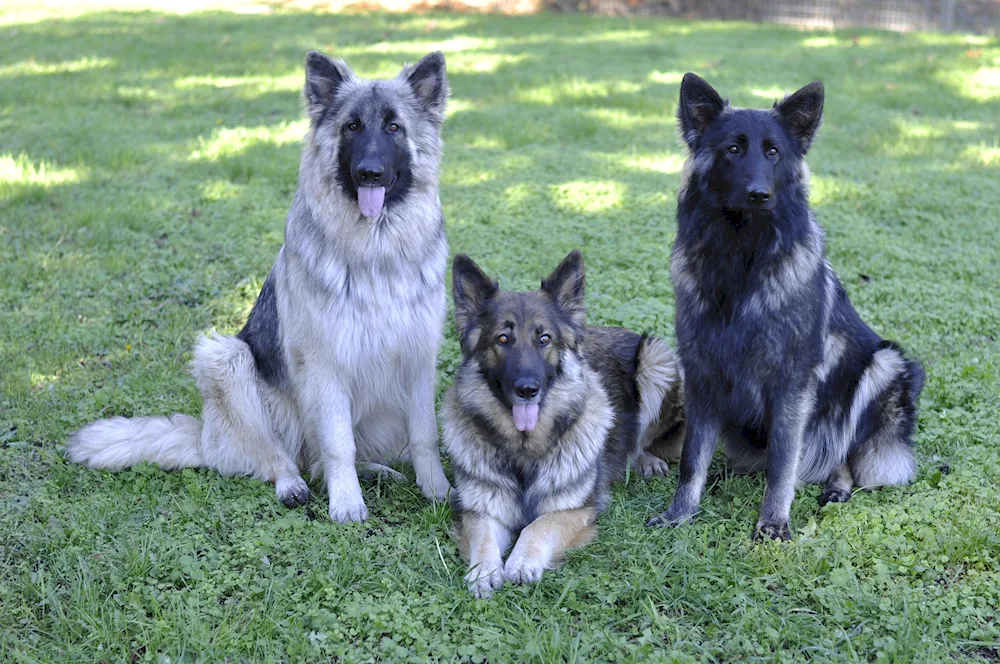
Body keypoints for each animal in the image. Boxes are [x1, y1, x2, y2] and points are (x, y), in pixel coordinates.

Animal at [71, 49, 458, 520]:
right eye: (351, 127)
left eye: (394, 127)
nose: (369, 172)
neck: (375, 254)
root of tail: (206, 436)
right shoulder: (326, 367)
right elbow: (338, 445)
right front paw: (346, 503)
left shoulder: (418, 361)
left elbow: (425, 435)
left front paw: (437, 489)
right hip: (226, 358)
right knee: (286, 457)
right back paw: (294, 485)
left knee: (319, 459)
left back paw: (377, 471)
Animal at [648, 74, 920, 540]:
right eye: (733, 149)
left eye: (773, 151)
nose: (760, 194)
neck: (742, 255)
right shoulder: (702, 377)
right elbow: (692, 458)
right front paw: (680, 512)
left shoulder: (791, 385)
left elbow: (781, 462)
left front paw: (773, 523)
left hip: (884, 364)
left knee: (842, 454)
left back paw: (836, 486)